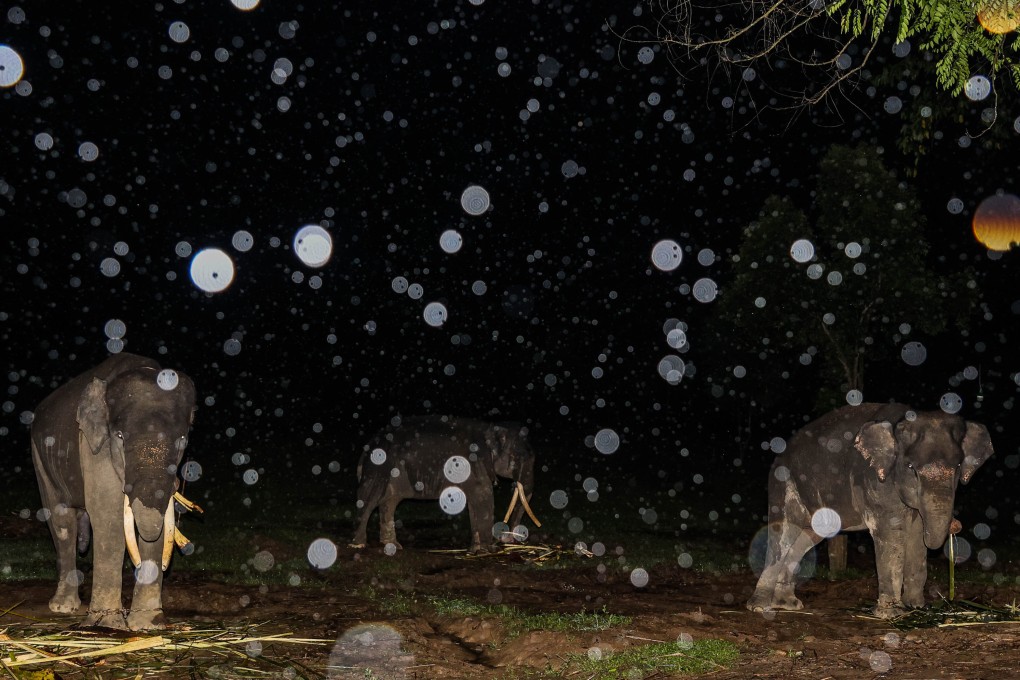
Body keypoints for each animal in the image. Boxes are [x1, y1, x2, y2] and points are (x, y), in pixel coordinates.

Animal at [31, 352, 197, 630]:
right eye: (119, 436)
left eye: (183, 441)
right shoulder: (93, 446)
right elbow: (108, 519)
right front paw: (106, 625)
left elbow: (158, 526)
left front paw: (148, 625)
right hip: (39, 458)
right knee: (61, 522)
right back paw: (63, 607)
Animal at [351, 416, 536, 553]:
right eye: (518, 458)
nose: (507, 538)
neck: (491, 428)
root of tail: (368, 445)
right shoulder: (474, 463)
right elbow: (484, 496)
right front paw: (488, 550)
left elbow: (474, 501)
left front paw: (475, 550)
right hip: (378, 467)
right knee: (370, 498)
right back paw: (358, 545)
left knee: (390, 501)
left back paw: (392, 546)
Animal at [747, 403, 993, 619]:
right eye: (911, 468)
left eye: (958, 467)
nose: (956, 525)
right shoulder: (874, 481)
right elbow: (891, 536)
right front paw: (891, 613)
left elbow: (916, 536)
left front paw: (917, 607)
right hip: (783, 483)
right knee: (783, 534)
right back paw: (759, 607)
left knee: (807, 538)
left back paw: (787, 604)